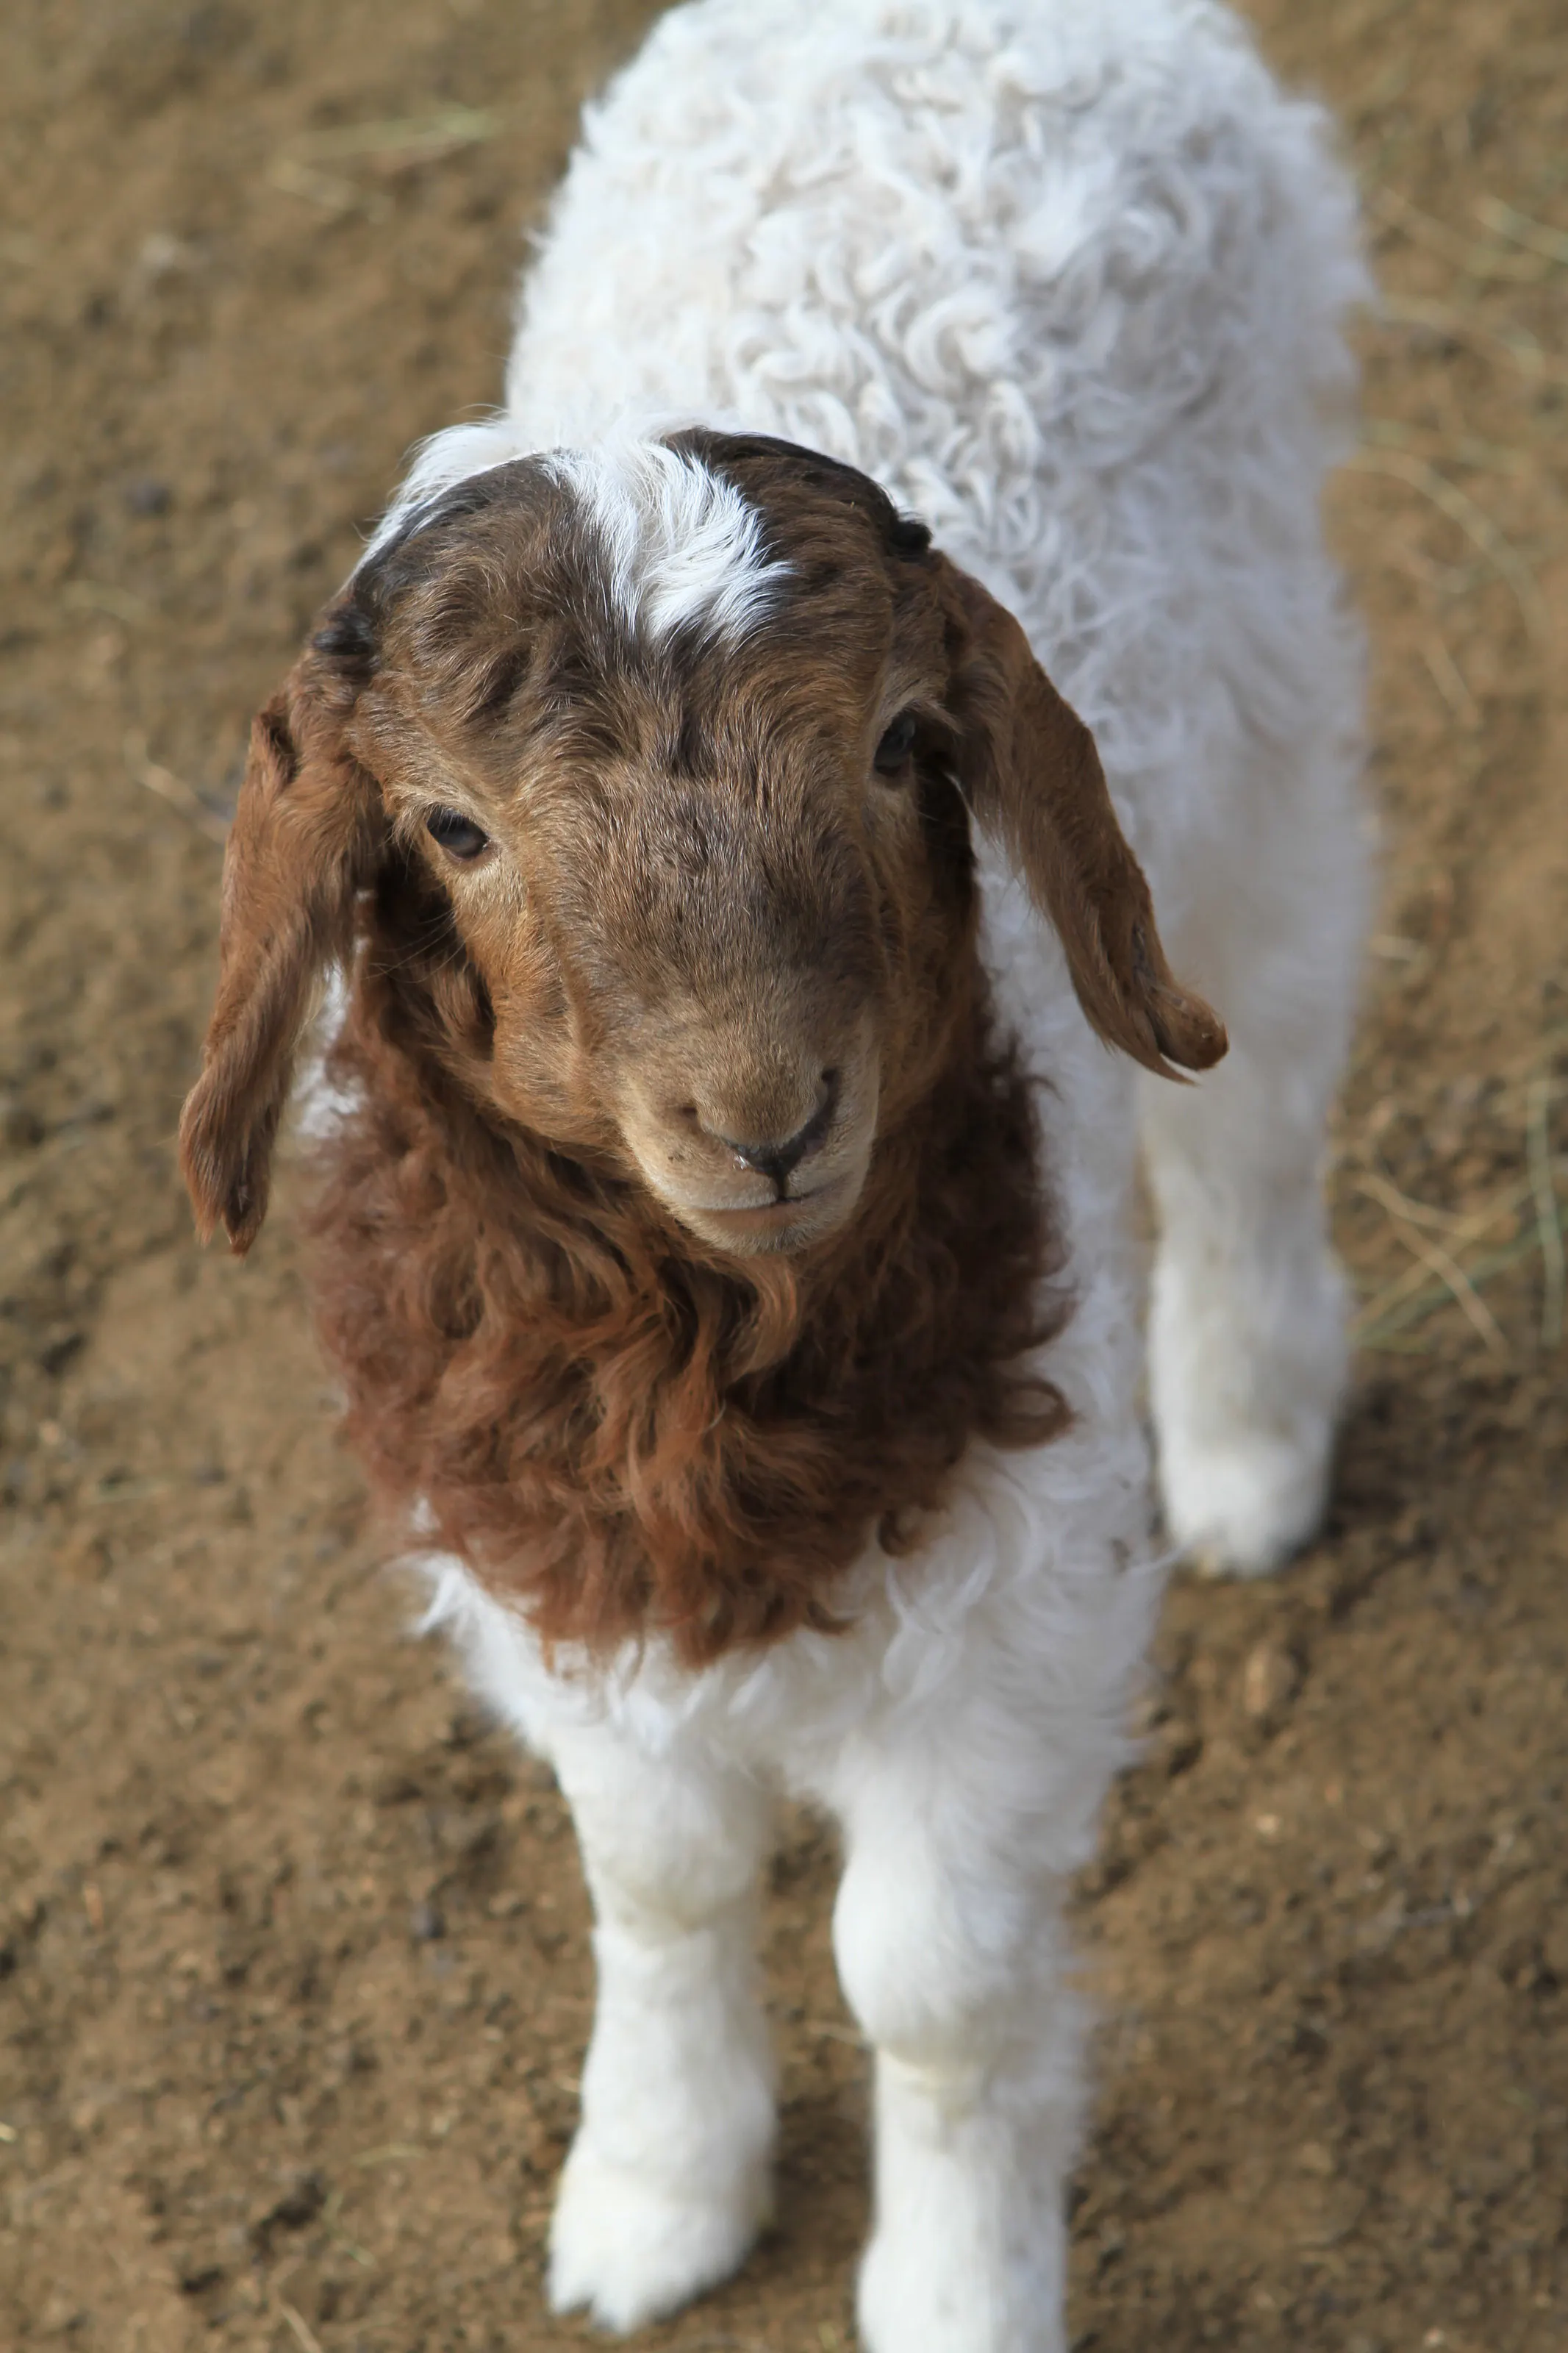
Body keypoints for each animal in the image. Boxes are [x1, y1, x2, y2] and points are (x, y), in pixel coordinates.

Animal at [180, 2, 1369, 2345]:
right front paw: (653, 2191)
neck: (708, 1362)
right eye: (449, 826)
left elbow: (930, 1982)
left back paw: (1250, 1447)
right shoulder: (561, 1582)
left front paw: (957, 2285)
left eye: (908, 746)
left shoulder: (1005, 1604)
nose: (763, 1116)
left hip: (1256, 698)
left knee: (1252, 1086)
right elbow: (656, 1877)